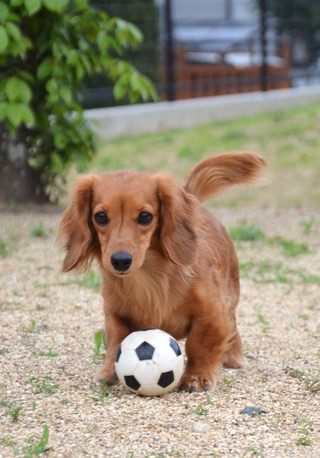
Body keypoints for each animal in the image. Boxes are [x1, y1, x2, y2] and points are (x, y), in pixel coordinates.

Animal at [58, 152, 266, 392]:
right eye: (100, 216)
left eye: (145, 216)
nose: (120, 261)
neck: (150, 279)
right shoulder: (115, 312)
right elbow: (117, 341)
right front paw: (109, 371)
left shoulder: (212, 312)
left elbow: (199, 344)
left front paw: (197, 376)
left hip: (231, 294)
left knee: (232, 324)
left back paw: (234, 355)